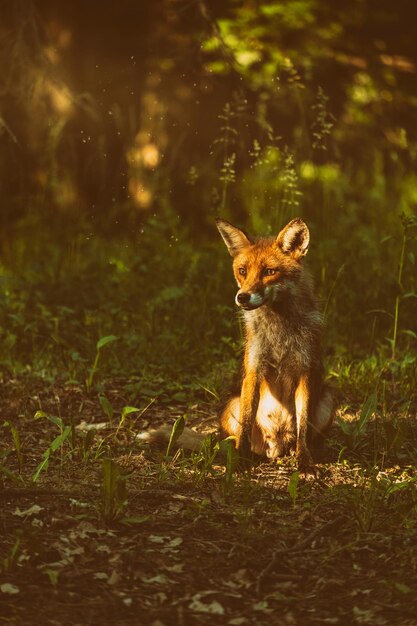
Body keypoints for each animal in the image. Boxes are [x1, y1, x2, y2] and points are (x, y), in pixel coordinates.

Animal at [216, 217, 334, 470]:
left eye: (269, 271)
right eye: (242, 271)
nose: (242, 297)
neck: (279, 329)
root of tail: (275, 447)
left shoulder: (305, 370)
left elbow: (302, 425)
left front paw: (304, 462)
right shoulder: (254, 369)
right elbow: (246, 423)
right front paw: (239, 460)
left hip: (328, 400)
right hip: (231, 405)